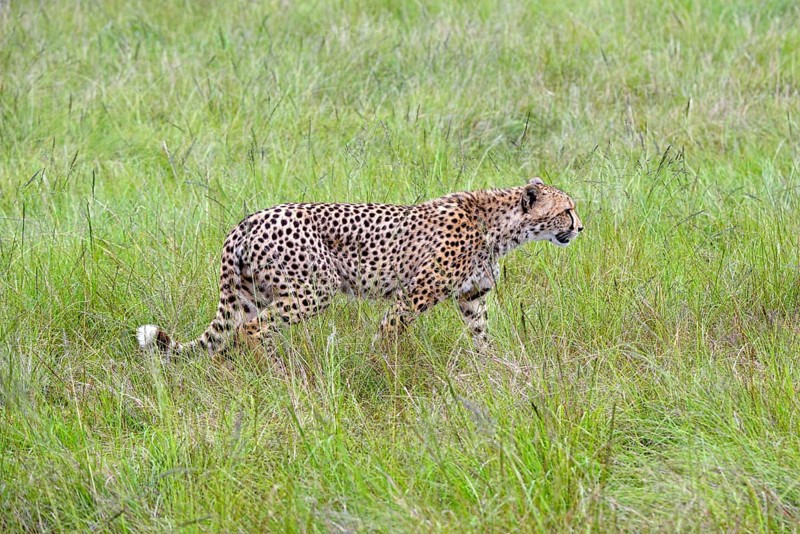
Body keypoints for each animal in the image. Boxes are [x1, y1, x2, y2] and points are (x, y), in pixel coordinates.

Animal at [136, 177, 583, 357]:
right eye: (567, 210)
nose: (580, 226)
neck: (500, 225)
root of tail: (246, 220)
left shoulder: (472, 297)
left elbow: (482, 337)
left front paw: (493, 368)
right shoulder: (412, 296)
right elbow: (387, 335)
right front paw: (383, 371)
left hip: (250, 294)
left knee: (231, 334)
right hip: (314, 289)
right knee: (253, 330)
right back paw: (280, 374)